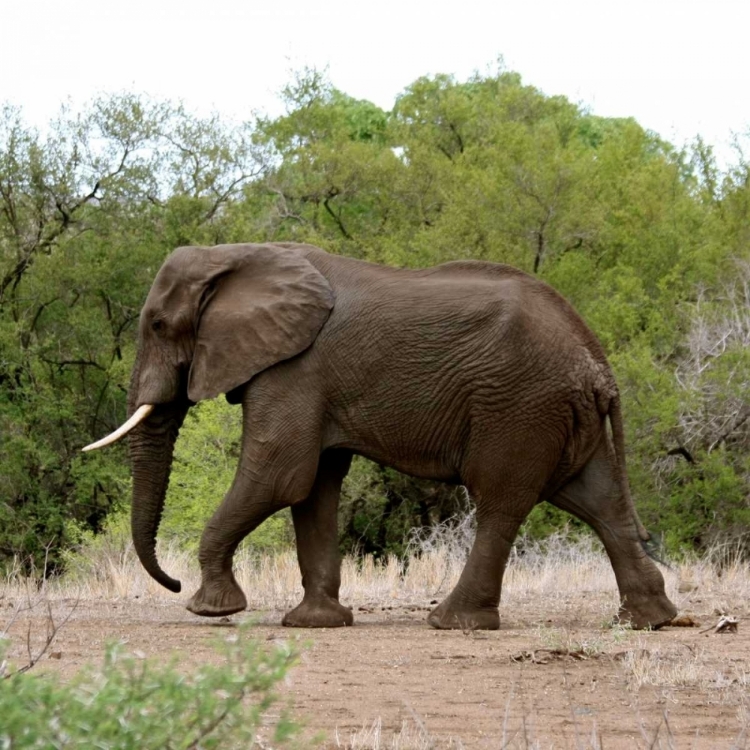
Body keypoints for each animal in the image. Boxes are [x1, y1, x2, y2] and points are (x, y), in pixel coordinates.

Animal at [85, 244, 680, 632]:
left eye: (158, 326)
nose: (172, 584)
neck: (234, 255)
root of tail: (598, 364)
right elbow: (313, 488)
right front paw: (316, 624)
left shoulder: (295, 369)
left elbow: (280, 476)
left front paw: (211, 610)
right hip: (559, 412)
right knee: (599, 502)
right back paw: (649, 621)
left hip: (518, 405)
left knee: (500, 501)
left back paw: (452, 623)